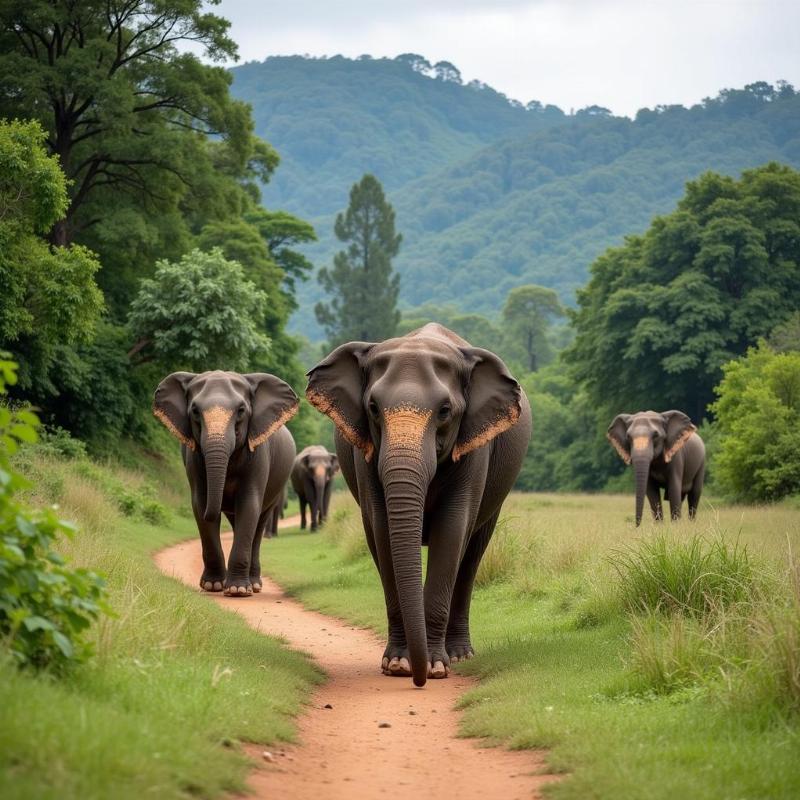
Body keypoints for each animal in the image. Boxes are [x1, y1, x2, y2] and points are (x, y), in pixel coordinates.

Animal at [153, 368, 296, 592]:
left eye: (241, 410)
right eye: (195, 410)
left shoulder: (258, 454)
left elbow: (249, 504)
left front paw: (238, 590)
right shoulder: (194, 459)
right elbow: (200, 503)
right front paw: (213, 585)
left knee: (259, 522)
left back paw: (254, 584)